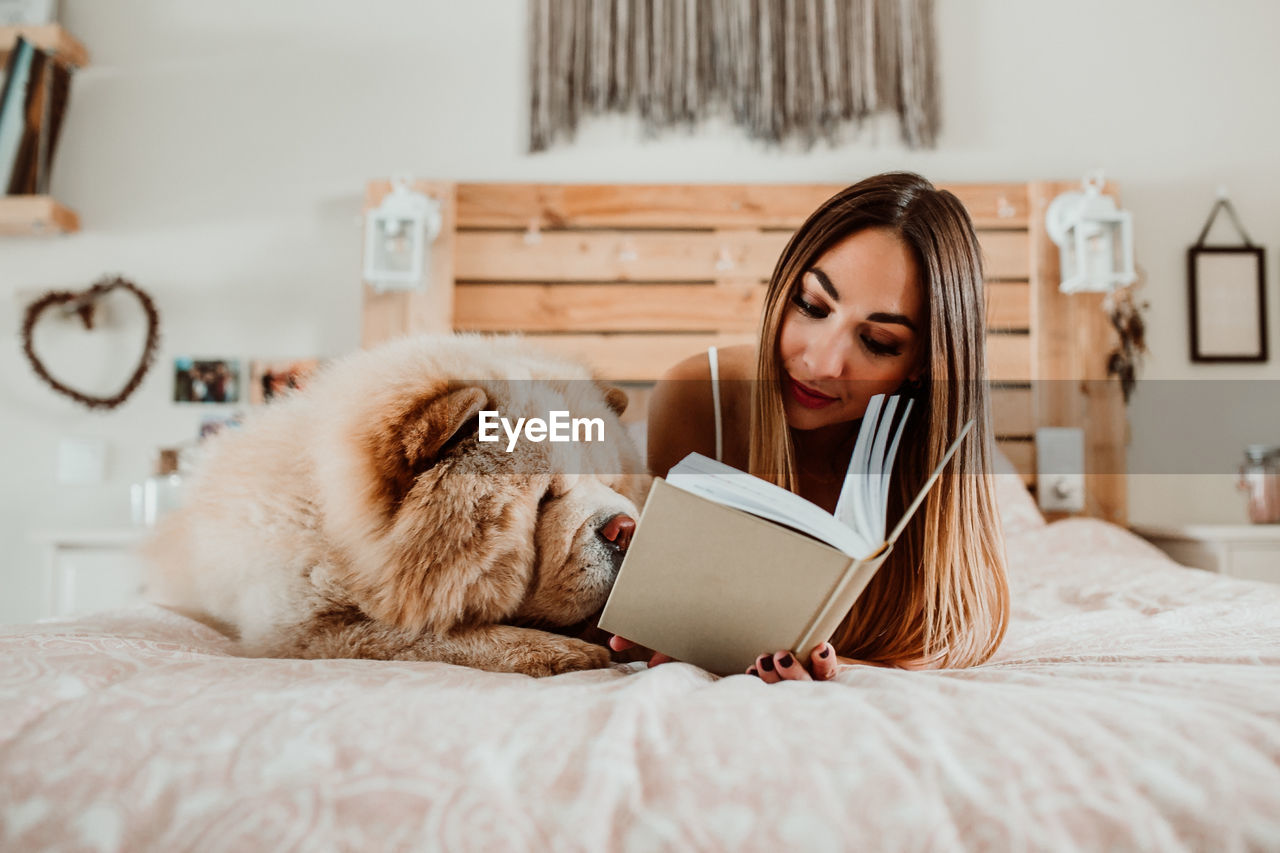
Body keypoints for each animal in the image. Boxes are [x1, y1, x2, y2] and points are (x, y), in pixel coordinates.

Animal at [142, 333, 650, 671]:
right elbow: (431, 637)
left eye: (612, 483)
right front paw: (565, 652)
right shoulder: (302, 633)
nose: (628, 530)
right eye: (546, 495)